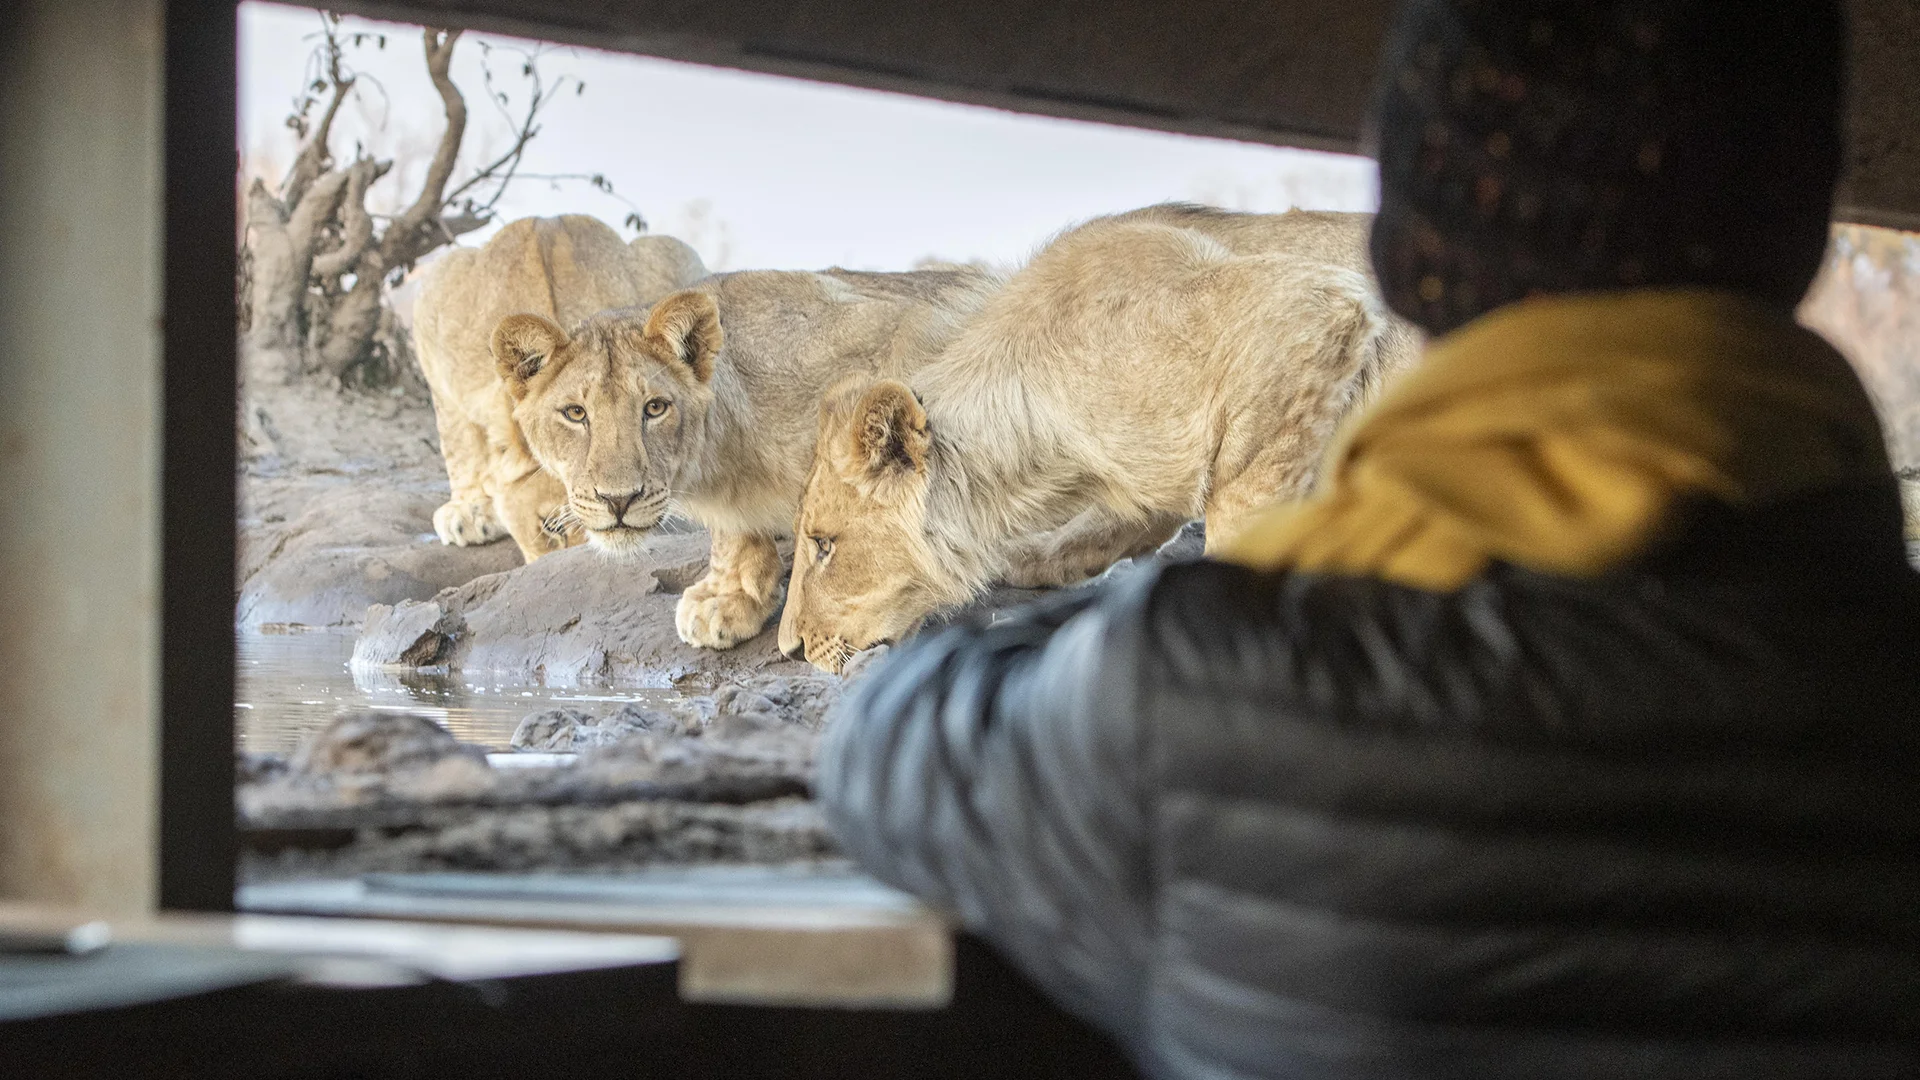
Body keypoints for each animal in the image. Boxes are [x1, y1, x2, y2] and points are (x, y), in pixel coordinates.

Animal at [488, 264, 999, 649]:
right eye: (575, 413)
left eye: (654, 408)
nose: (618, 500)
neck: (725, 452)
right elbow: (732, 534)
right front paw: (729, 597)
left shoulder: (903, 342)